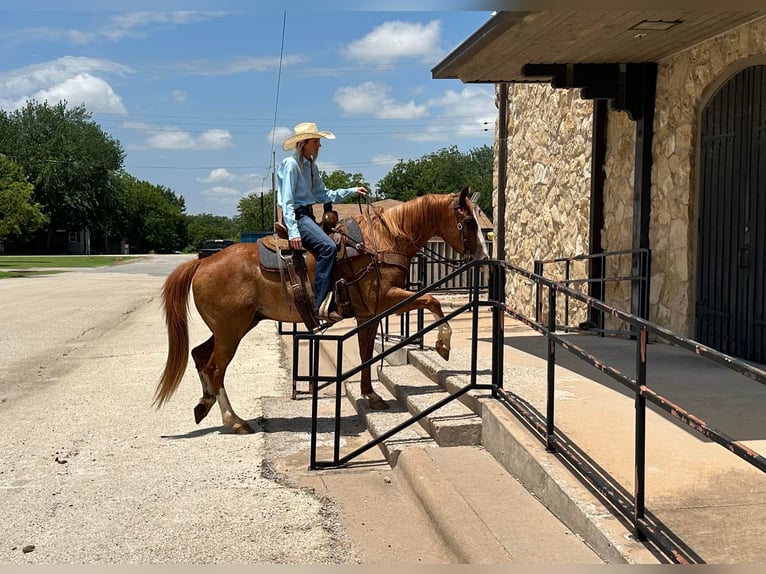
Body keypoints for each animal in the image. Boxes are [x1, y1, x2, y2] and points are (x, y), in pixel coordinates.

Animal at [153, 187, 488, 434]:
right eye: (470, 222)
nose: (484, 256)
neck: (383, 241)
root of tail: (202, 263)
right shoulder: (387, 299)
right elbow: (432, 300)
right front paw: (443, 344)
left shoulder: (368, 313)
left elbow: (365, 351)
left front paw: (371, 395)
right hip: (230, 330)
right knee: (215, 367)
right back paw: (233, 421)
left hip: (235, 326)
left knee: (199, 355)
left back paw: (204, 404)